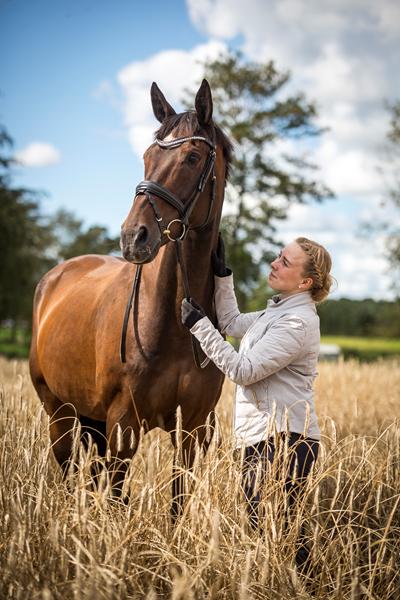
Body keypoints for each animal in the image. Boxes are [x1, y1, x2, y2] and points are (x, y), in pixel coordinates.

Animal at [29, 77, 233, 512]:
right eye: (147, 155)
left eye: (192, 157)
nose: (133, 237)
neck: (172, 324)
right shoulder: (124, 426)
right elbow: (116, 499)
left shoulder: (192, 430)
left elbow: (177, 502)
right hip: (59, 413)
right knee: (68, 471)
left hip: (90, 419)